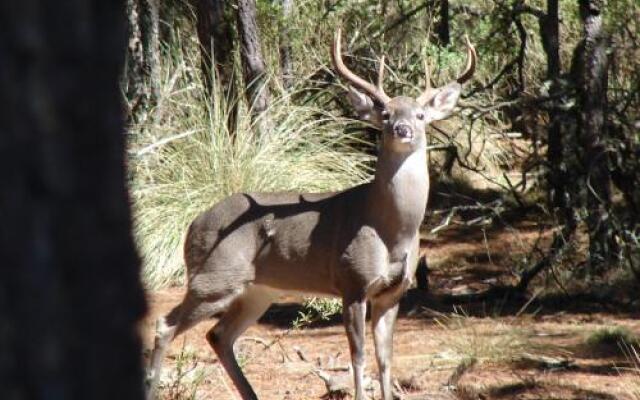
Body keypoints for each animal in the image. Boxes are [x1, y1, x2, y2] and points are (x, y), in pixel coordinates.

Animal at [146, 28, 476, 400]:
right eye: (385, 114)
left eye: (421, 115)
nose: (403, 129)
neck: (389, 228)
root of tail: (192, 226)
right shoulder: (352, 281)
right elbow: (358, 356)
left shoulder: (393, 292)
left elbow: (386, 358)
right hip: (215, 277)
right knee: (165, 324)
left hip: (259, 290)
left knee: (218, 335)